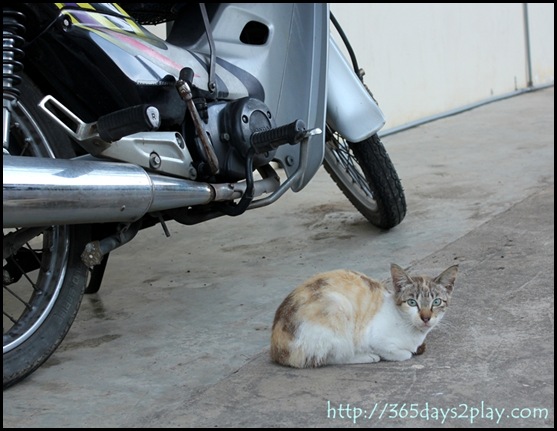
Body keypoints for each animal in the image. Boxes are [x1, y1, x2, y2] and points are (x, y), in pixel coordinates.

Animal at [268, 264, 456, 368]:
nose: (426, 318)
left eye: (436, 302)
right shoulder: (374, 339)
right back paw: (368, 357)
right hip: (338, 308)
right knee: (329, 357)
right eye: (412, 302)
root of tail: (277, 349)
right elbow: (402, 354)